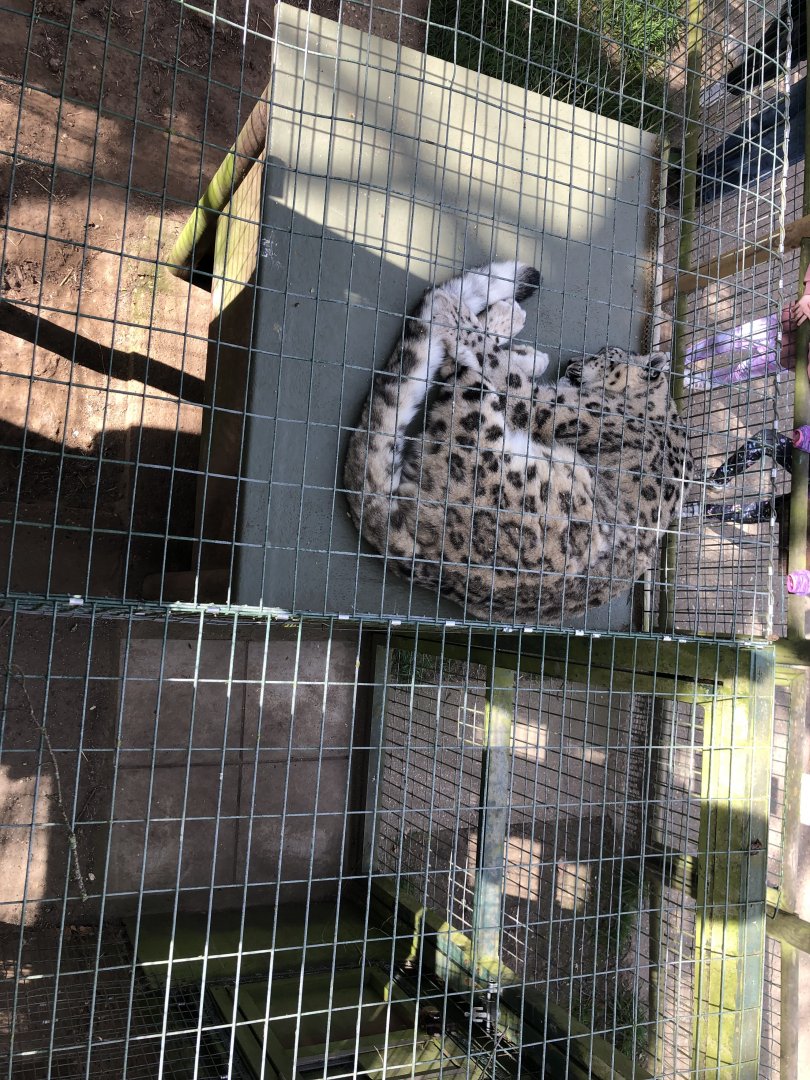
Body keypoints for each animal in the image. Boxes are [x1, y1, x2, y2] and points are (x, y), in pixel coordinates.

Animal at [343, 260, 694, 624]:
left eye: (605, 355)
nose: (571, 362)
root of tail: (428, 559)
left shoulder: (543, 406)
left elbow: (497, 363)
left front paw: (461, 314)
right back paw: (523, 344)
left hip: (478, 422)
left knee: (460, 366)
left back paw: (479, 311)